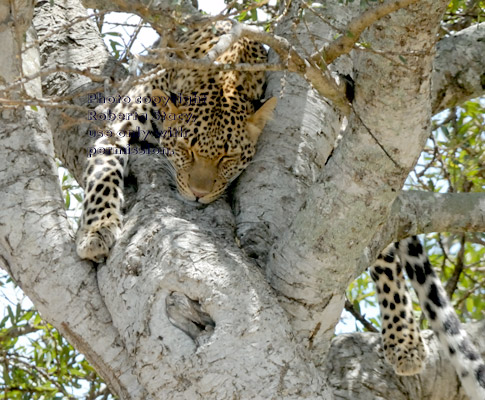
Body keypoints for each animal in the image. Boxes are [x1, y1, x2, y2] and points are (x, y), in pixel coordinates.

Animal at [77, 21, 278, 262]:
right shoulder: (116, 129)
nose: (198, 194)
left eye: (228, 157)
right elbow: (103, 178)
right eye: (185, 149)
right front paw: (97, 231)